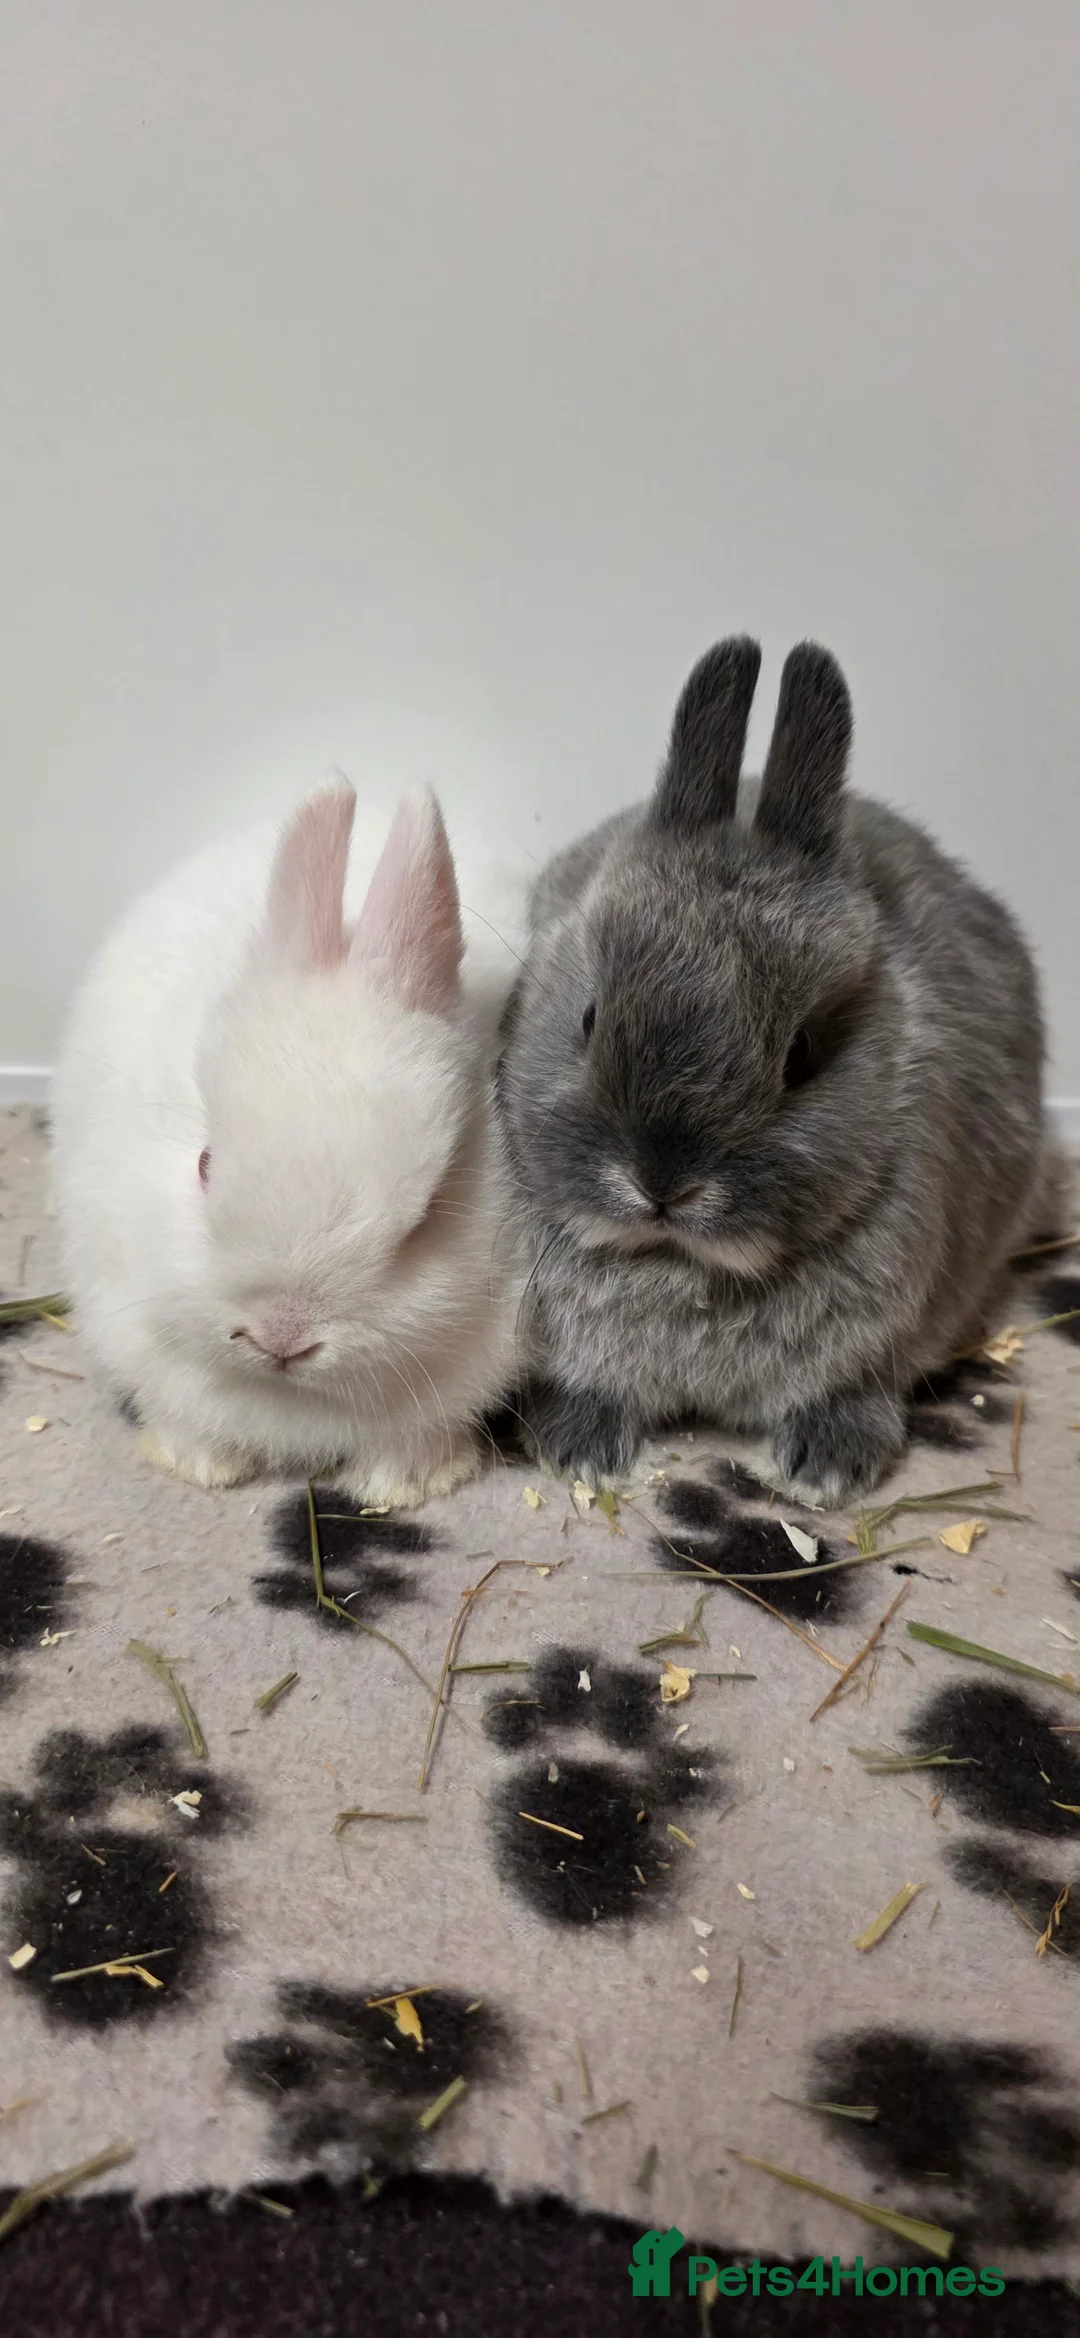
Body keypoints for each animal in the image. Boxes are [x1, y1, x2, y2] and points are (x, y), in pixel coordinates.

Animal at [495, 635, 1062, 1507]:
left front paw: (827, 1469)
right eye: (588, 1018)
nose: (661, 1183)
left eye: (801, 1054)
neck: (680, 1267)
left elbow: (856, 1384)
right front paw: (577, 1447)